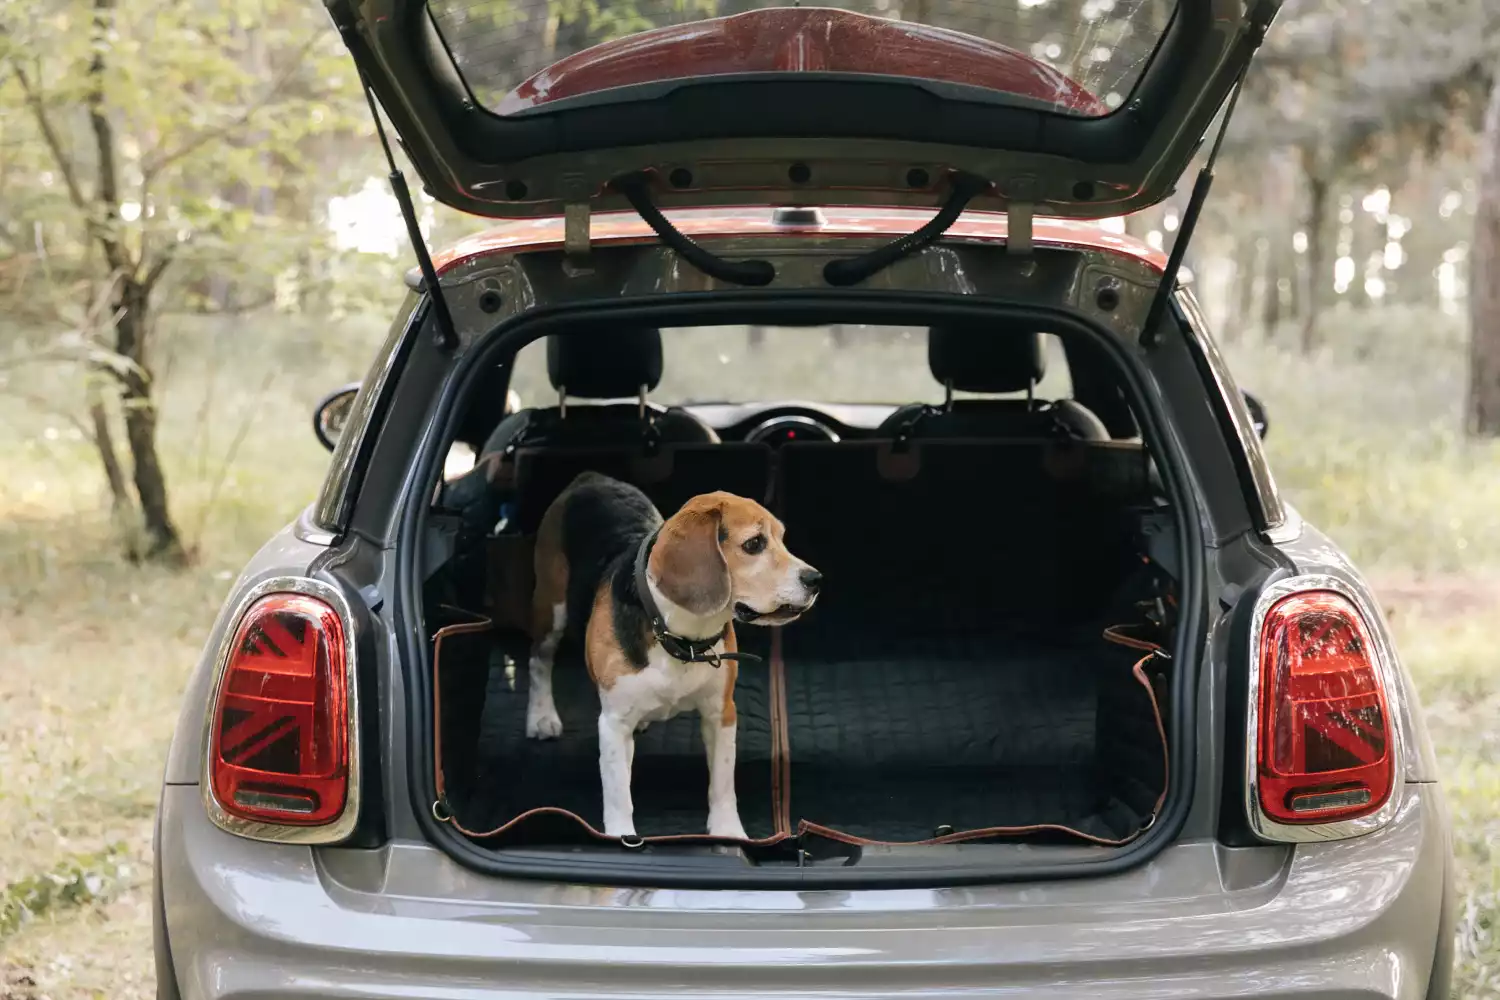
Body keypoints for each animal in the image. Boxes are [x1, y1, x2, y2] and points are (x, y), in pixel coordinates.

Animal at [525, 473, 822, 839]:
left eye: (781, 539)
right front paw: (621, 838)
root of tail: (591, 477)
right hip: (551, 608)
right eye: (754, 544)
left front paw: (728, 830)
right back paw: (541, 716)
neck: (682, 637)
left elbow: (723, 783)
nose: (815, 579)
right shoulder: (613, 724)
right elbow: (618, 794)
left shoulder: (721, 712)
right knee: (539, 660)